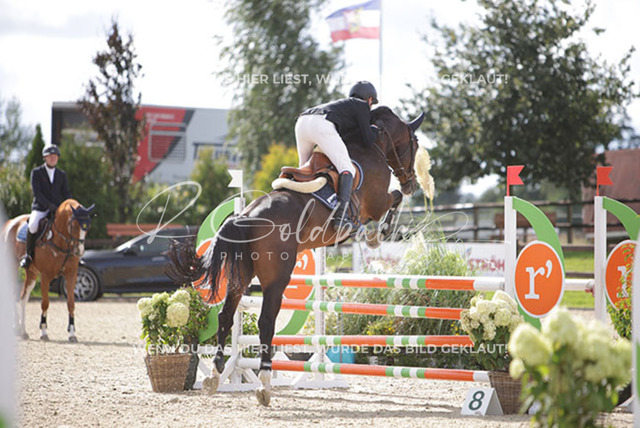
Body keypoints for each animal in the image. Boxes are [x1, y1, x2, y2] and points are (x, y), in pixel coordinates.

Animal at [2, 199, 94, 342]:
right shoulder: (45, 276)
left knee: (23, 297)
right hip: (12, 266)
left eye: (87, 227)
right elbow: (45, 303)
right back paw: (18, 328)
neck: (61, 241)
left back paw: (22, 331)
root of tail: (10, 222)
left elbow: (71, 303)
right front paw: (44, 332)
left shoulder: (71, 275)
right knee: (13, 295)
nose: (78, 251)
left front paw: (72, 333)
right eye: (74, 226)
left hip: (32, 272)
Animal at [167, 106, 424, 405]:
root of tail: (244, 216)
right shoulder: (376, 202)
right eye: (415, 143)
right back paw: (265, 384)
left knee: (225, 316)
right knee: (265, 323)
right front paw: (379, 234)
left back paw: (216, 376)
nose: (412, 184)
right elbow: (394, 199)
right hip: (276, 280)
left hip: (242, 276)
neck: (372, 145)